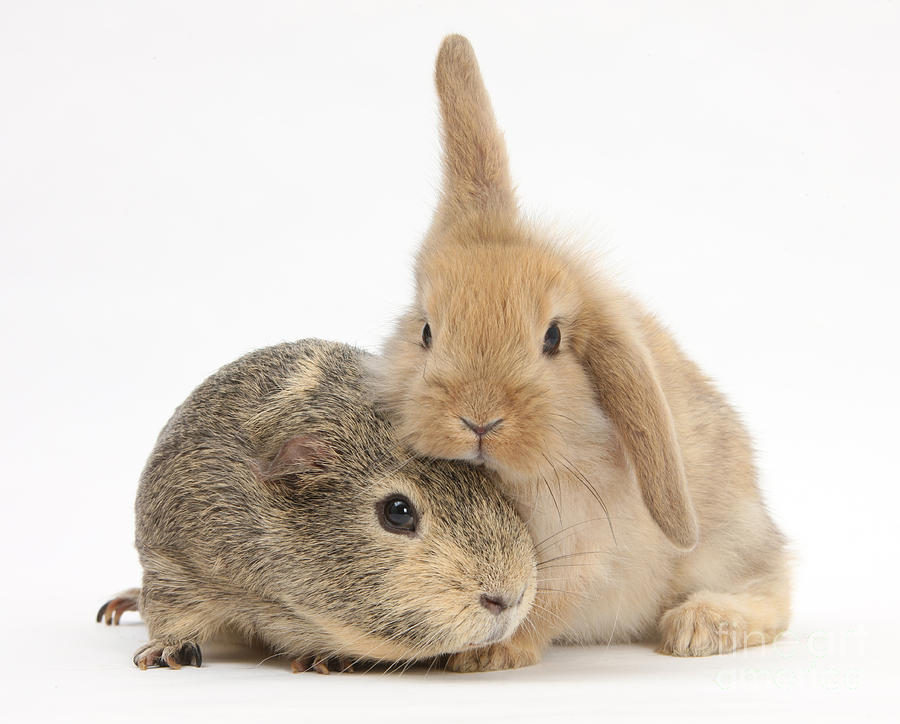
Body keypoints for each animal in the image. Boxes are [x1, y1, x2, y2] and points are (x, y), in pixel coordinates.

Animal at [96, 339, 536, 673]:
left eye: (495, 488)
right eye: (398, 511)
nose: (510, 598)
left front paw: (325, 660)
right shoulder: (173, 564)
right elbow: (170, 617)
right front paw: (167, 654)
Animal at [369, 35, 791, 672]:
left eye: (552, 339)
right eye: (425, 331)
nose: (479, 419)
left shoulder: (584, 550)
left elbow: (538, 604)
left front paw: (484, 657)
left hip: (727, 544)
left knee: (775, 588)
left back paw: (699, 627)